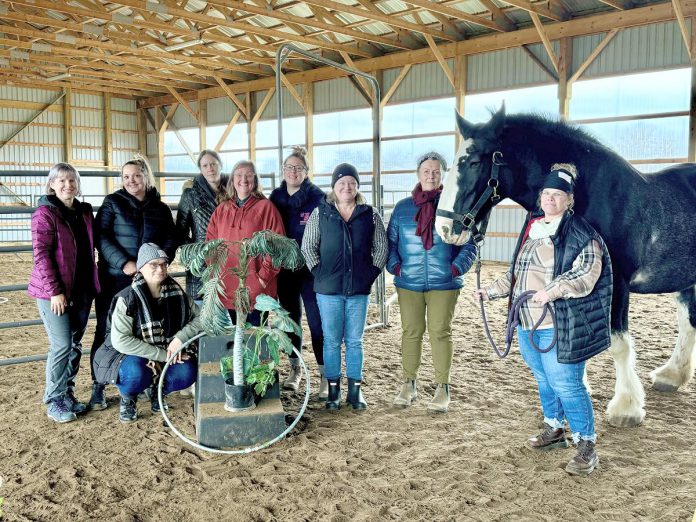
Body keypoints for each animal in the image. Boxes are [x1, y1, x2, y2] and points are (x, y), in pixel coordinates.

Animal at [438, 105, 696, 426]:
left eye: (473, 161)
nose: (444, 229)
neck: (592, 195)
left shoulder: (617, 283)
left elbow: (619, 344)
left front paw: (626, 408)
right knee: (688, 322)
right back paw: (671, 375)